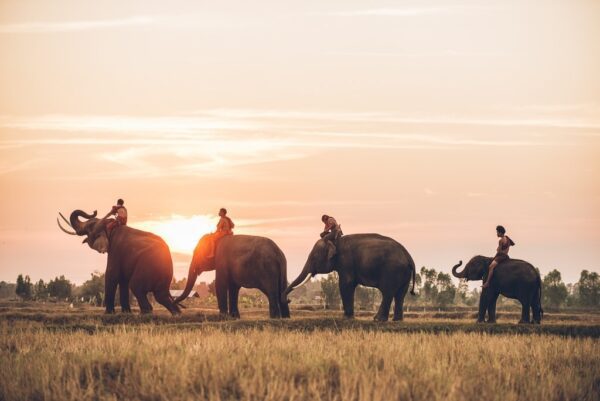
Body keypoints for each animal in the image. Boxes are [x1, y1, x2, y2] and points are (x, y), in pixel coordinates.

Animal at [284, 233, 414, 320]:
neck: (335, 240)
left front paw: (346, 317)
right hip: (404, 274)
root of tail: (408, 256)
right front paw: (349, 317)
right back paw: (396, 320)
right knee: (400, 294)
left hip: (392, 270)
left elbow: (345, 284)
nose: (288, 300)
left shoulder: (345, 261)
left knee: (387, 293)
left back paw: (377, 319)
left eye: (314, 257)